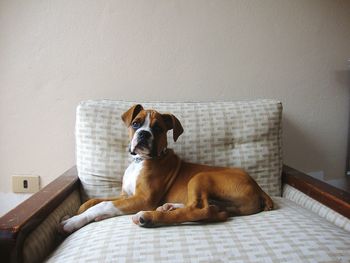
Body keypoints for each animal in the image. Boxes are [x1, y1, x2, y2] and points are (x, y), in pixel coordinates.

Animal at [60, 104, 274, 234]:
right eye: (136, 123)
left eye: (158, 129)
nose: (144, 134)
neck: (140, 160)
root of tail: (258, 188)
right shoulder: (126, 196)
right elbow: (95, 200)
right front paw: (77, 211)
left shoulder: (143, 199)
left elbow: (104, 204)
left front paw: (74, 221)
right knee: (210, 209)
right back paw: (169, 207)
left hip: (200, 177)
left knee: (201, 210)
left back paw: (149, 217)